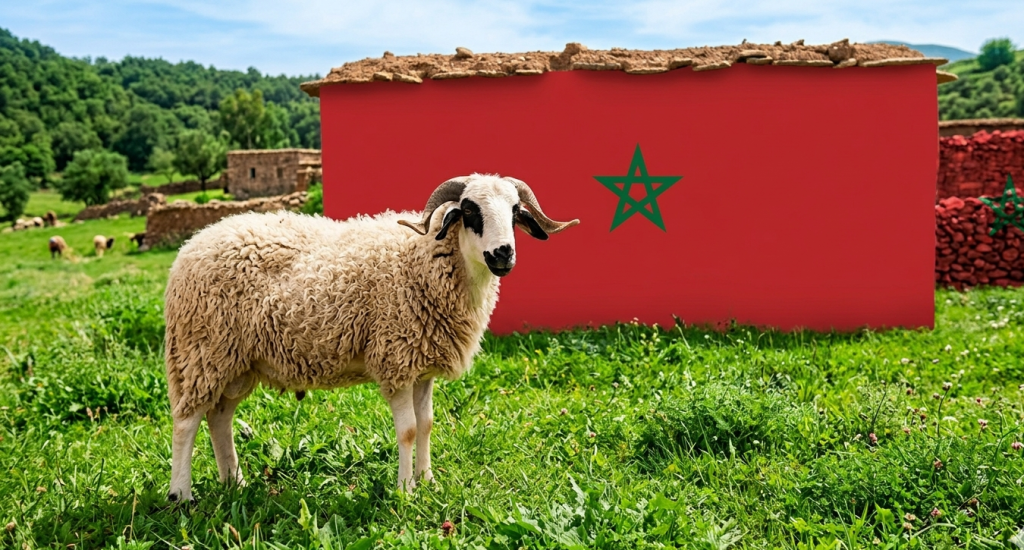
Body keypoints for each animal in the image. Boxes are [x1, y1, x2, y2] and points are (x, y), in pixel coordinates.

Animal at [164, 174, 579, 501]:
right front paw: (405, 490)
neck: (425, 258)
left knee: (219, 417)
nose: (503, 254)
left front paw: (428, 481)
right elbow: (408, 430)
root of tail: (192, 244)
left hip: (237, 362)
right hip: (202, 350)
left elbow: (427, 424)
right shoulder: (395, 359)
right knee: (186, 420)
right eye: (469, 211)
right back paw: (181, 494)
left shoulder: (422, 366)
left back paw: (234, 482)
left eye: (515, 211)